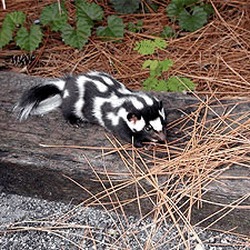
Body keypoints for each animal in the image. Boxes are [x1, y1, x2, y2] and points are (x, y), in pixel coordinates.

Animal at [16, 71, 168, 147]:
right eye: (148, 128)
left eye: (163, 123)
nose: (163, 138)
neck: (126, 100)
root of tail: (66, 84)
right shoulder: (117, 120)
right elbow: (127, 136)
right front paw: (143, 144)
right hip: (73, 102)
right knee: (67, 110)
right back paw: (74, 121)